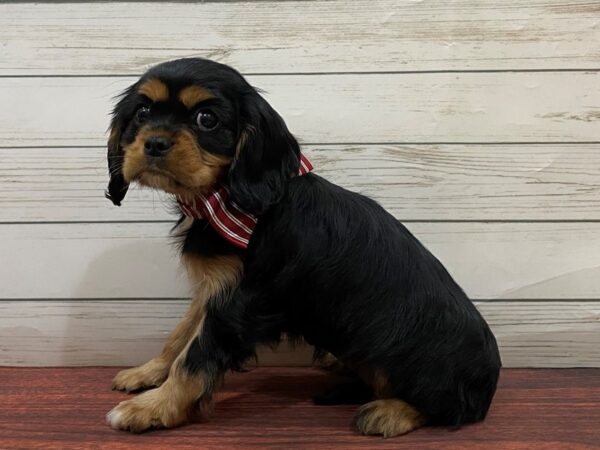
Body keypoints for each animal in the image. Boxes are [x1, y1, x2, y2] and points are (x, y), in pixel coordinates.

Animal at [104, 58, 502, 438]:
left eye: (206, 119)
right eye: (142, 113)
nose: (154, 142)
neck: (224, 199)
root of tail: (490, 382)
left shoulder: (241, 301)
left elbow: (196, 356)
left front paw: (152, 408)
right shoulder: (216, 286)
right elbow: (182, 334)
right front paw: (147, 373)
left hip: (409, 354)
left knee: (452, 408)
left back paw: (390, 412)